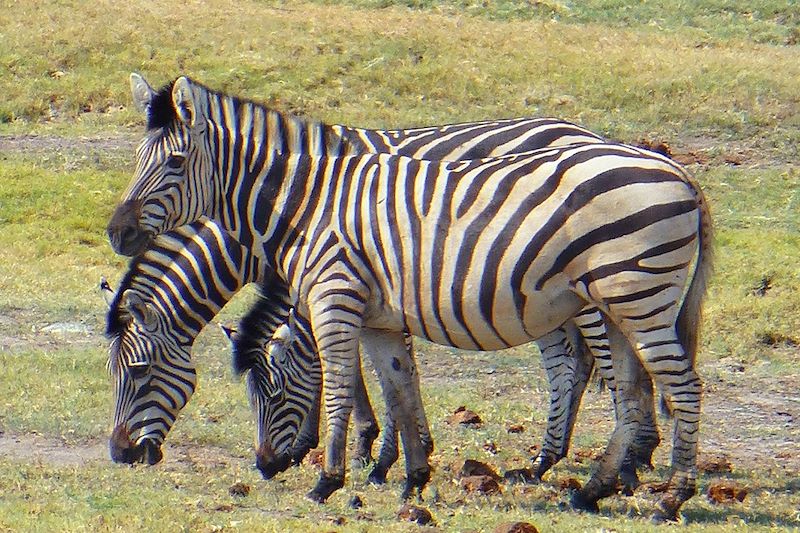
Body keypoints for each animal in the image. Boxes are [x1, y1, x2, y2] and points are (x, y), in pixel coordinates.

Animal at [108, 77, 712, 516]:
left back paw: (667, 492)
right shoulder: (375, 313)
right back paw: (593, 487)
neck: (300, 205)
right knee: (624, 385)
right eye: (137, 158)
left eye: (138, 372)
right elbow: (399, 386)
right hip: (605, 302)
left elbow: (340, 384)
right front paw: (405, 475)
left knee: (673, 385)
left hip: (634, 298)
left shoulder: (334, 297)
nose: (119, 454)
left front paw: (334, 473)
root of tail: (677, 169)